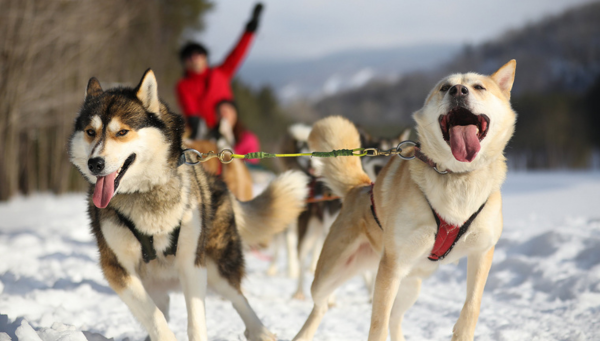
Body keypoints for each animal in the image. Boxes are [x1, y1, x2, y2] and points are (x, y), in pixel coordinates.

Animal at [68, 69, 308, 340]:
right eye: (90, 131)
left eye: (122, 132)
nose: (95, 163)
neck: (146, 194)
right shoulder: (117, 269)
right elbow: (154, 316)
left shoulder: (192, 263)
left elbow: (196, 320)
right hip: (155, 283)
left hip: (217, 265)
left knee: (238, 297)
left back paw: (260, 331)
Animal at [292, 59, 516, 338]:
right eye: (445, 87)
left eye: (478, 87)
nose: (459, 91)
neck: (456, 177)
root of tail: (361, 188)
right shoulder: (391, 268)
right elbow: (377, 324)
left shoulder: (482, 251)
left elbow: (472, 306)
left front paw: (462, 330)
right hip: (330, 273)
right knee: (321, 304)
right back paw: (303, 332)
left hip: (410, 284)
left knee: (394, 318)